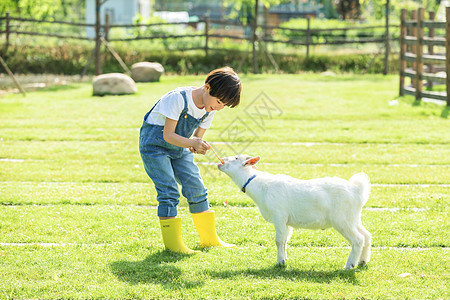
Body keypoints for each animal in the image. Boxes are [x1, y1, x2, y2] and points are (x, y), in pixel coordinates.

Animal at [219, 155, 372, 270]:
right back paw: (362, 261)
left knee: (358, 239)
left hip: (342, 220)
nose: (221, 161)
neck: (260, 186)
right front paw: (284, 259)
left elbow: (279, 240)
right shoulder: (286, 221)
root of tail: (357, 190)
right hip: (353, 218)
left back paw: (349, 265)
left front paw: (280, 262)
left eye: (236, 157)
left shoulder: (279, 216)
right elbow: (285, 240)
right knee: (367, 235)